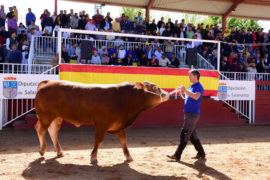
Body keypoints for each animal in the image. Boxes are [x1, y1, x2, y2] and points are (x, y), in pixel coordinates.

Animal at [34, 81, 169, 164]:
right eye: (155, 88)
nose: (167, 94)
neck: (124, 99)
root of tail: (47, 82)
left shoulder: (119, 126)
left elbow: (123, 141)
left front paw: (128, 156)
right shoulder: (101, 125)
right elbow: (98, 141)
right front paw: (93, 158)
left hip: (56, 117)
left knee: (52, 131)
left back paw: (59, 152)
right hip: (45, 116)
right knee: (40, 129)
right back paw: (42, 150)